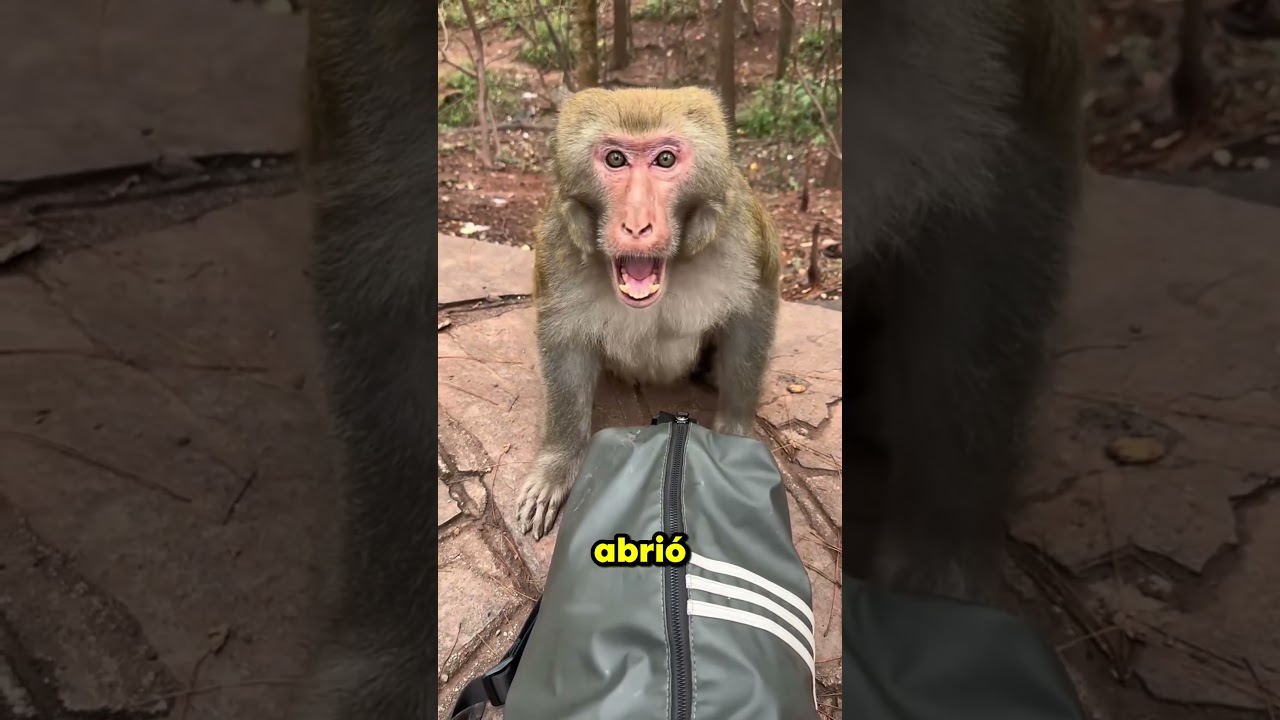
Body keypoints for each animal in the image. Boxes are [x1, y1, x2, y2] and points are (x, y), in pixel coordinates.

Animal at [514, 86, 781, 540]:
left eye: (666, 160)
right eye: (615, 159)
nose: (637, 226)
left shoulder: (742, 234)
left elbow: (751, 316)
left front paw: (735, 431)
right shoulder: (557, 244)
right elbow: (564, 344)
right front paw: (557, 464)